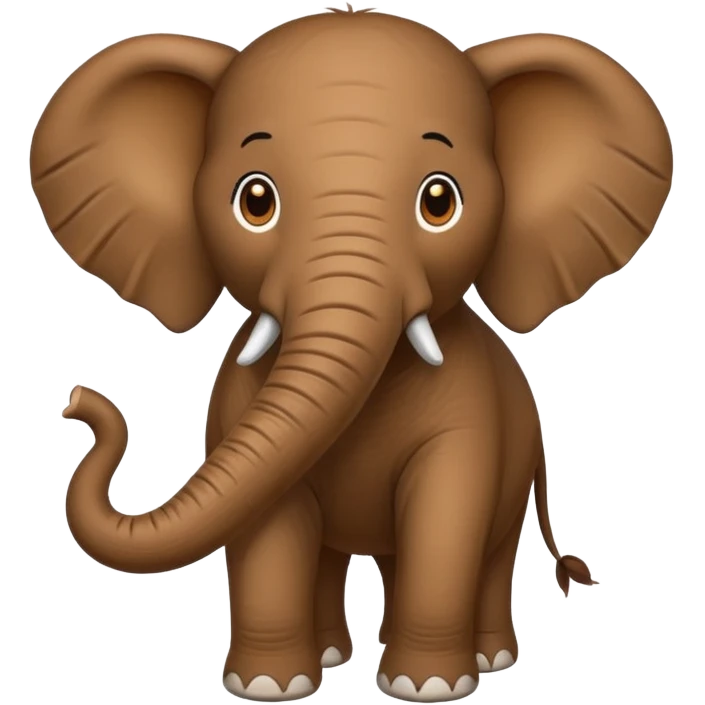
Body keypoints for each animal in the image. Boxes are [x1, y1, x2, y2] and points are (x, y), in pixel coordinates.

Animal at [30, 6, 673, 704]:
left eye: (440, 202)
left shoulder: (470, 414)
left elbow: (447, 515)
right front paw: (268, 686)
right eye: (255, 201)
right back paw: (336, 655)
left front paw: (427, 687)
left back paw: (488, 657)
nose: (78, 403)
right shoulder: (237, 402)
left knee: (489, 552)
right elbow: (269, 520)